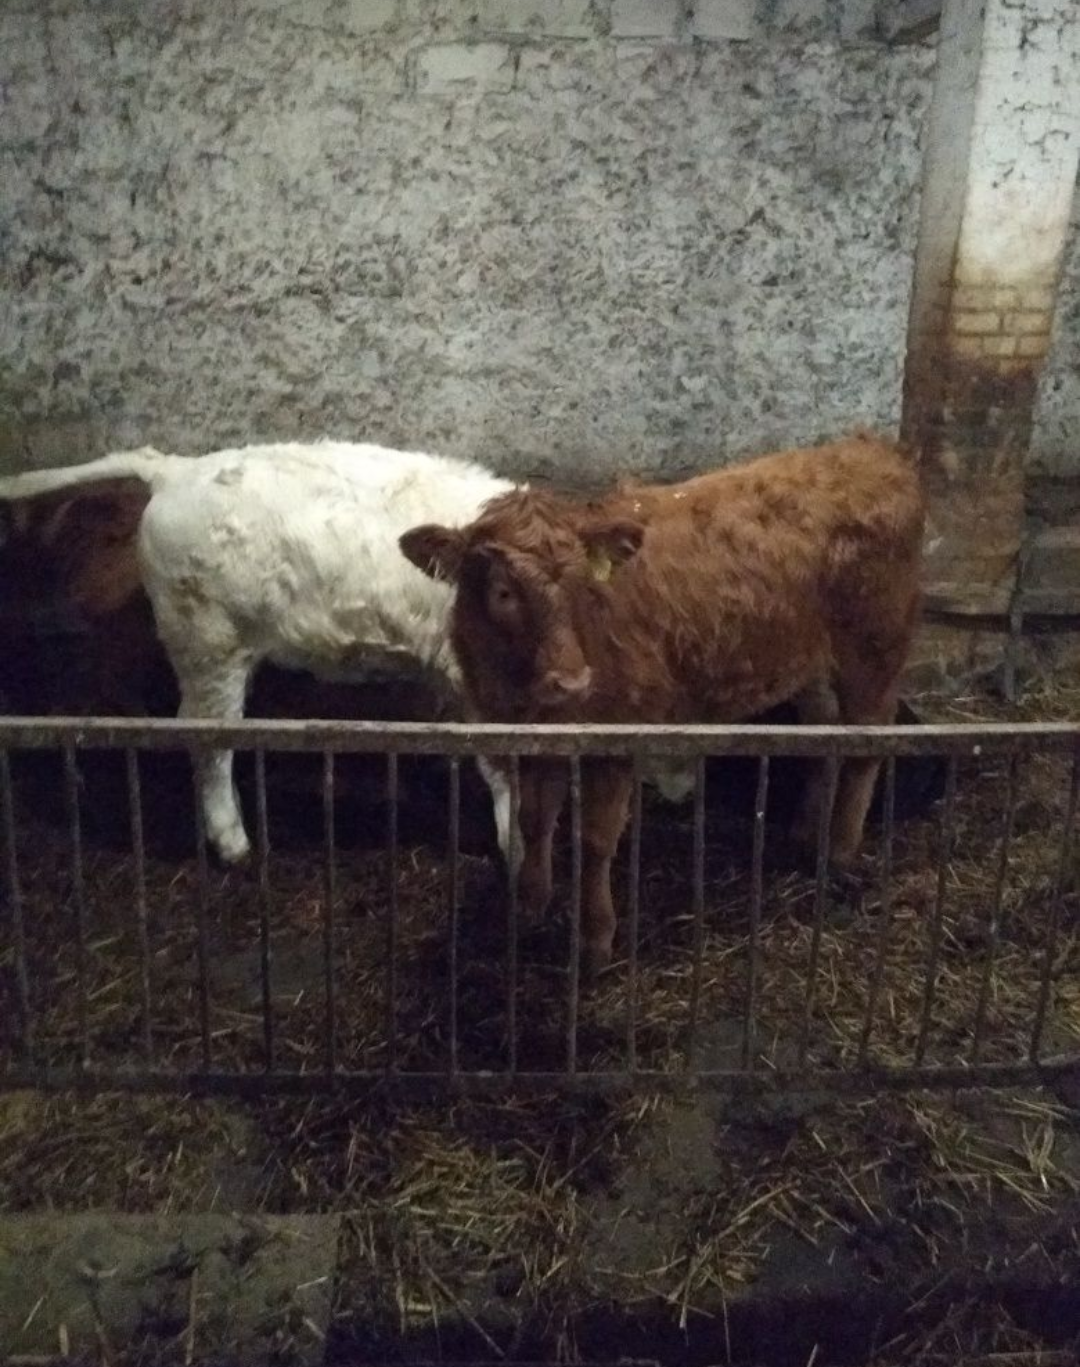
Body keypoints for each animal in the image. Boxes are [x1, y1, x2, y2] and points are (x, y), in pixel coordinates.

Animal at [0, 441, 517, 865]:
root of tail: (173, 470)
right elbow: (500, 758)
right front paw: (513, 845)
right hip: (206, 639)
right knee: (204, 732)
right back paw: (234, 845)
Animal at [400, 431, 925, 975]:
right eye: (503, 592)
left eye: (583, 583)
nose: (572, 681)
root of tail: (869, 450)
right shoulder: (531, 739)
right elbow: (535, 819)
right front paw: (529, 905)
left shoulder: (615, 739)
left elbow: (595, 840)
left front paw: (594, 941)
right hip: (809, 664)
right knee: (824, 735)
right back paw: (804, 836)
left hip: (876, 647)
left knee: (866, 744)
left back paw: (840, 853)